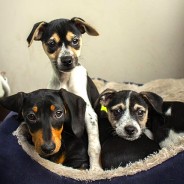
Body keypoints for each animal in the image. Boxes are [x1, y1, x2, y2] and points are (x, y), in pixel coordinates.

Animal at [26, 17, 100, 170]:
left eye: (75, 40)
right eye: (51, 44)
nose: (67, 60)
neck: (65, 80)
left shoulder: (89, 114)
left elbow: (93, 147)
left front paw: (96, 170)